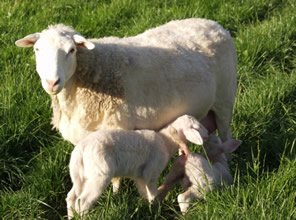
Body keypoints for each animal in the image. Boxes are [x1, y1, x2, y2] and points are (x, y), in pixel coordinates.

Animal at [14, 18, 238, 146]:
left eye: (71, 50)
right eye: (37, 49)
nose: (52, 82)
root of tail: (213, 24)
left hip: (226, 98)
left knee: (226, 133)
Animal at [65, 114, 208, 217]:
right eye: (198, 127)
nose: (207, 134)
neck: (165, 141)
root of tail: (81, 150)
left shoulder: (140, 176)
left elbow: (145, 193)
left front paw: (149, 208)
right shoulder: (152, 172)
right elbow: (153, 194)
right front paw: (155, 209)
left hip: (79, 175)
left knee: (72, 197)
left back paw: (72, 216)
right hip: (99, 174)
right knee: (83, 201)